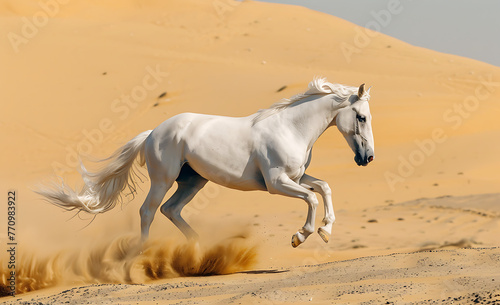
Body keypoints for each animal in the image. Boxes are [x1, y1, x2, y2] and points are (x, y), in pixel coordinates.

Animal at [39, 77, 374, 246]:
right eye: (360, 117)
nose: (367, 158)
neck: (290, 127)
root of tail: (152, 133)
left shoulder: (297, 177)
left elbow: (324, 188)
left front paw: (326, 230)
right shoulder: (277, 183)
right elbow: (312, 198)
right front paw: (300, 236)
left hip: (193, 181)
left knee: (170, 210)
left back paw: (197, 249)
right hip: (163, 180)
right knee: (148, 211)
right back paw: (144, 256)